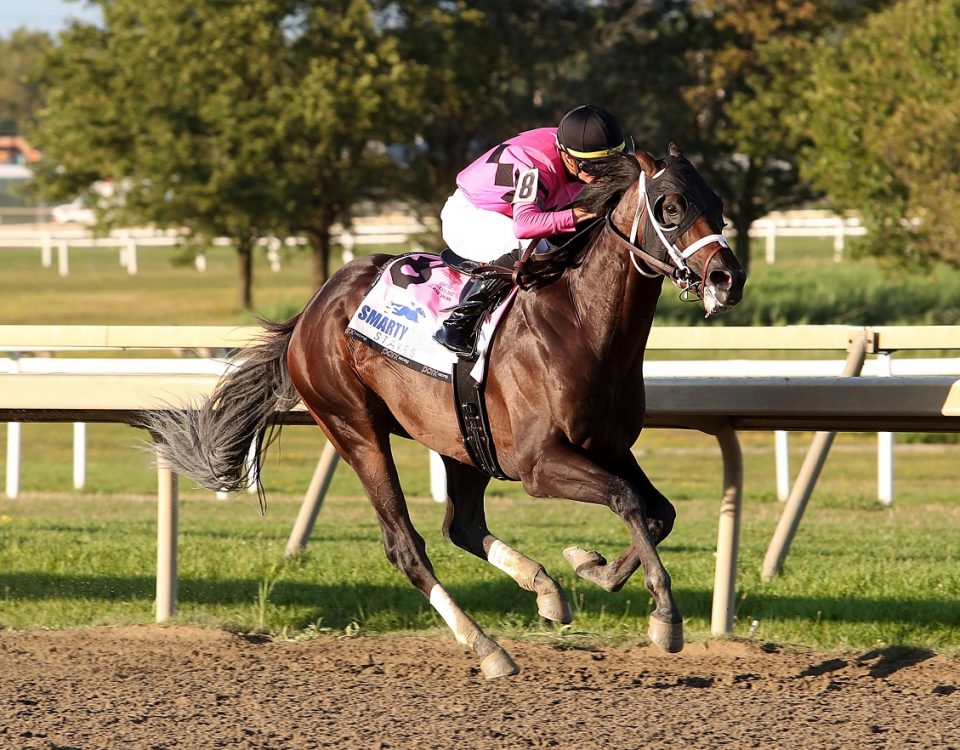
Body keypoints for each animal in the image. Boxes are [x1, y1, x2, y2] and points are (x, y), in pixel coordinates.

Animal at [152, 142, 752, 680]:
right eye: (670, 206)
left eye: (718, 202)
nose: (729, 278)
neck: (582, 324)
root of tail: (311, 310)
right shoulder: (539, 465)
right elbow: (627, 499)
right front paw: (664, 616)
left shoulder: (607, 445)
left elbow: (658, 512)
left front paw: (591, 568)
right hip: (356, 429)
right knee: (406, 546)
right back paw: (487, 647)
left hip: (461, 438)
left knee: (462, 524)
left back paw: (544, 589)